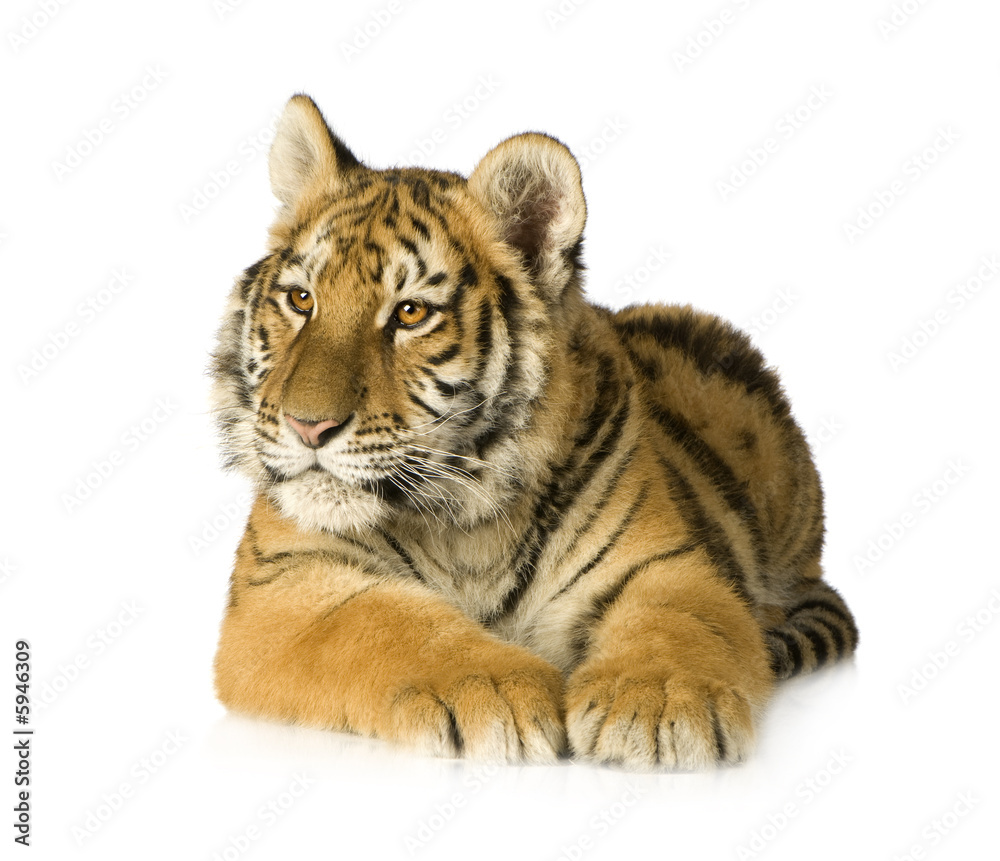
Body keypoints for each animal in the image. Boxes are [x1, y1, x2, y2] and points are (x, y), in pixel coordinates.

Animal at [210, 93, 858, 770]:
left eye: (410, 313)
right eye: (301, 300)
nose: (307, 426)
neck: (462, 520)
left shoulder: (671, 565)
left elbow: (676, 625)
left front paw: (657, 704)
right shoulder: (284, 585)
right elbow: (389, 624)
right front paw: (495, 689)